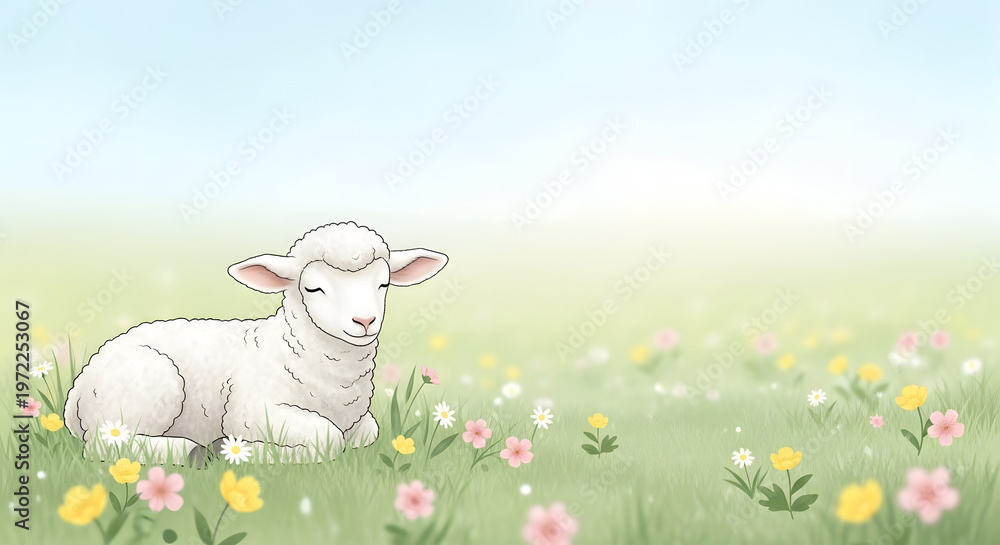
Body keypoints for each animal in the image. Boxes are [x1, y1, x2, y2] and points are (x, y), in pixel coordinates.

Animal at [63, 221, 448, 463]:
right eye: (313, 288)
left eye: (383, 284)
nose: (365, 321)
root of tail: (77, 388)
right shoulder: (251, 411)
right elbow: (327, 438)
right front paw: (248, 452)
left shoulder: (359, 421)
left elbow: (368, 431)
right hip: (147, 388)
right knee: (106, 445)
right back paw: (193, 451)